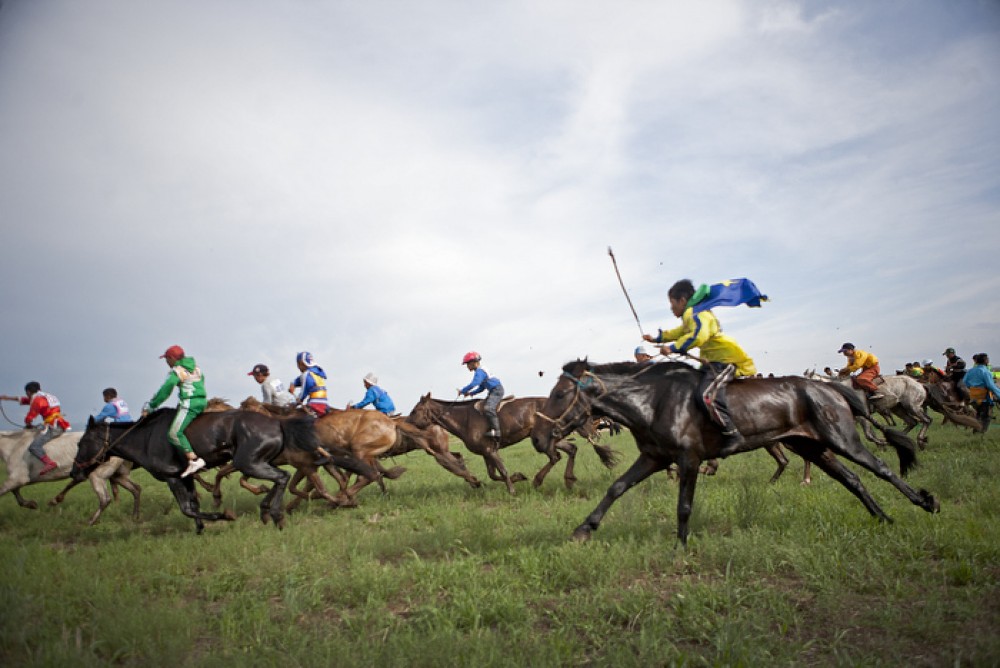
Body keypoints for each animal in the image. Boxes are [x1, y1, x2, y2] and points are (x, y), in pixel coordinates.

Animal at [0, 430, 143, 524]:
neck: (13, 447)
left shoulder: (18, 478)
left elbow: (5, 491)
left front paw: (32, 504)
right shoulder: (16, 480)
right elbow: (15, 492)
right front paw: (32, 504)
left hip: (97, 474)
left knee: (105, 499)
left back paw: (90, 521)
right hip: (115, 475)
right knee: (135, 488)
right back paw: (134, 516)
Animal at [71, 408, 320, 532]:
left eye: (81, 443)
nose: (74, 472)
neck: (146, 437)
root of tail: (278, 422)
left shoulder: (172, 477)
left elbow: (187, 509)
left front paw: (225, 515)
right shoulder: (186, 477)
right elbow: (194, 505)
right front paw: (200, 529)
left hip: (249, 462)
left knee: (282, 477)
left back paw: (276, 515)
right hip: (260, 461)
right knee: (279, 479)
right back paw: (266, 510)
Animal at [536, 360, 940, 544]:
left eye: (560, 394)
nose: (540, 439)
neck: (654, 401)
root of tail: (831, 388)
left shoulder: (688, 459)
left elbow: (684, 505)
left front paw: (681, 545)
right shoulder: (653, 457)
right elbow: (617, 487)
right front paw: (583, 529)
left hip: (841, 439)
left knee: (881, 466)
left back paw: (925, 502)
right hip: (811, 446)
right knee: (853, 479)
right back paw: (882, 517)